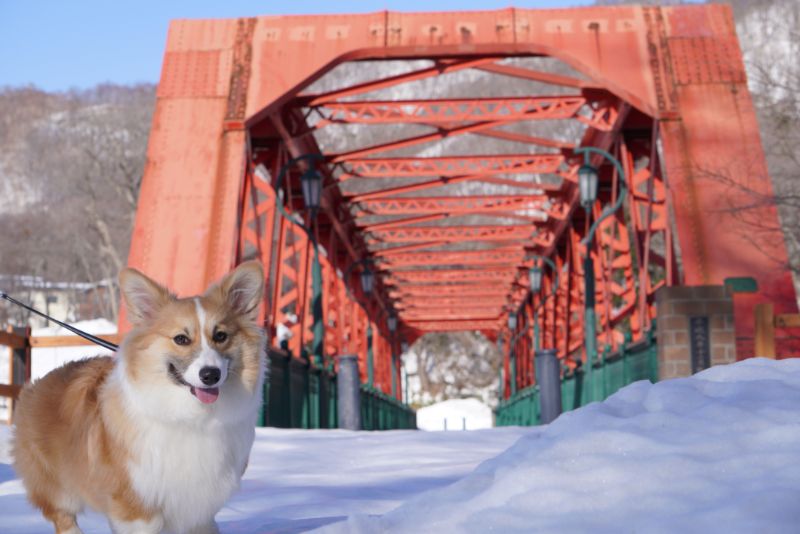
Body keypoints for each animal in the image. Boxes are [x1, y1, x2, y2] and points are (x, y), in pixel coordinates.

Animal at [10, 262, 266, 532]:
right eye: (181, 339)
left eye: (221, 336)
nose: (210, 375)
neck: (191, 417)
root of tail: (35, 385)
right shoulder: (137, 508)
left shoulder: (199, 510)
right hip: (58, 490)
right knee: (64, 518)